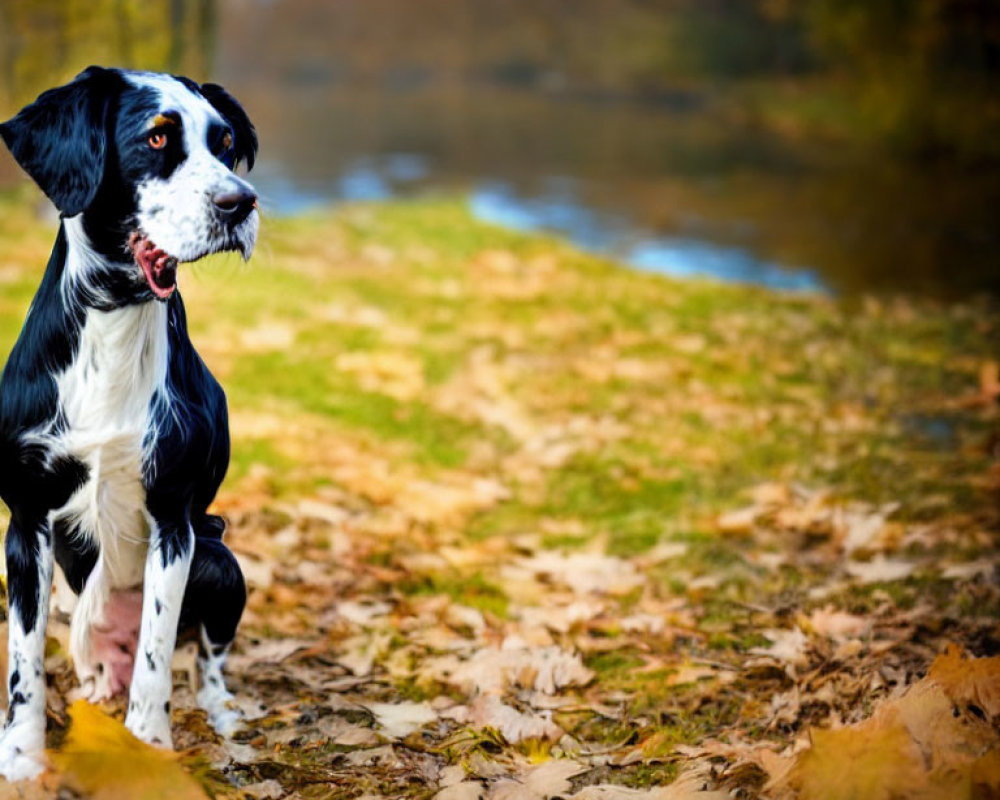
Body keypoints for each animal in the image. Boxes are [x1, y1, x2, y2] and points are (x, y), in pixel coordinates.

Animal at [0, 69, 262, 780]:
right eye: (157, 138)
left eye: (225, 144)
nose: (242, 204)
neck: (116, 315)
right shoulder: (25, 524)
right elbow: (23, 663)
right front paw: (22, 759)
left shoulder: (174, 522)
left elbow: (156, 657)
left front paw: (149, 749)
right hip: (81, 608)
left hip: (220, 562)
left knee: (206, 660)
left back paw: (223, 715)